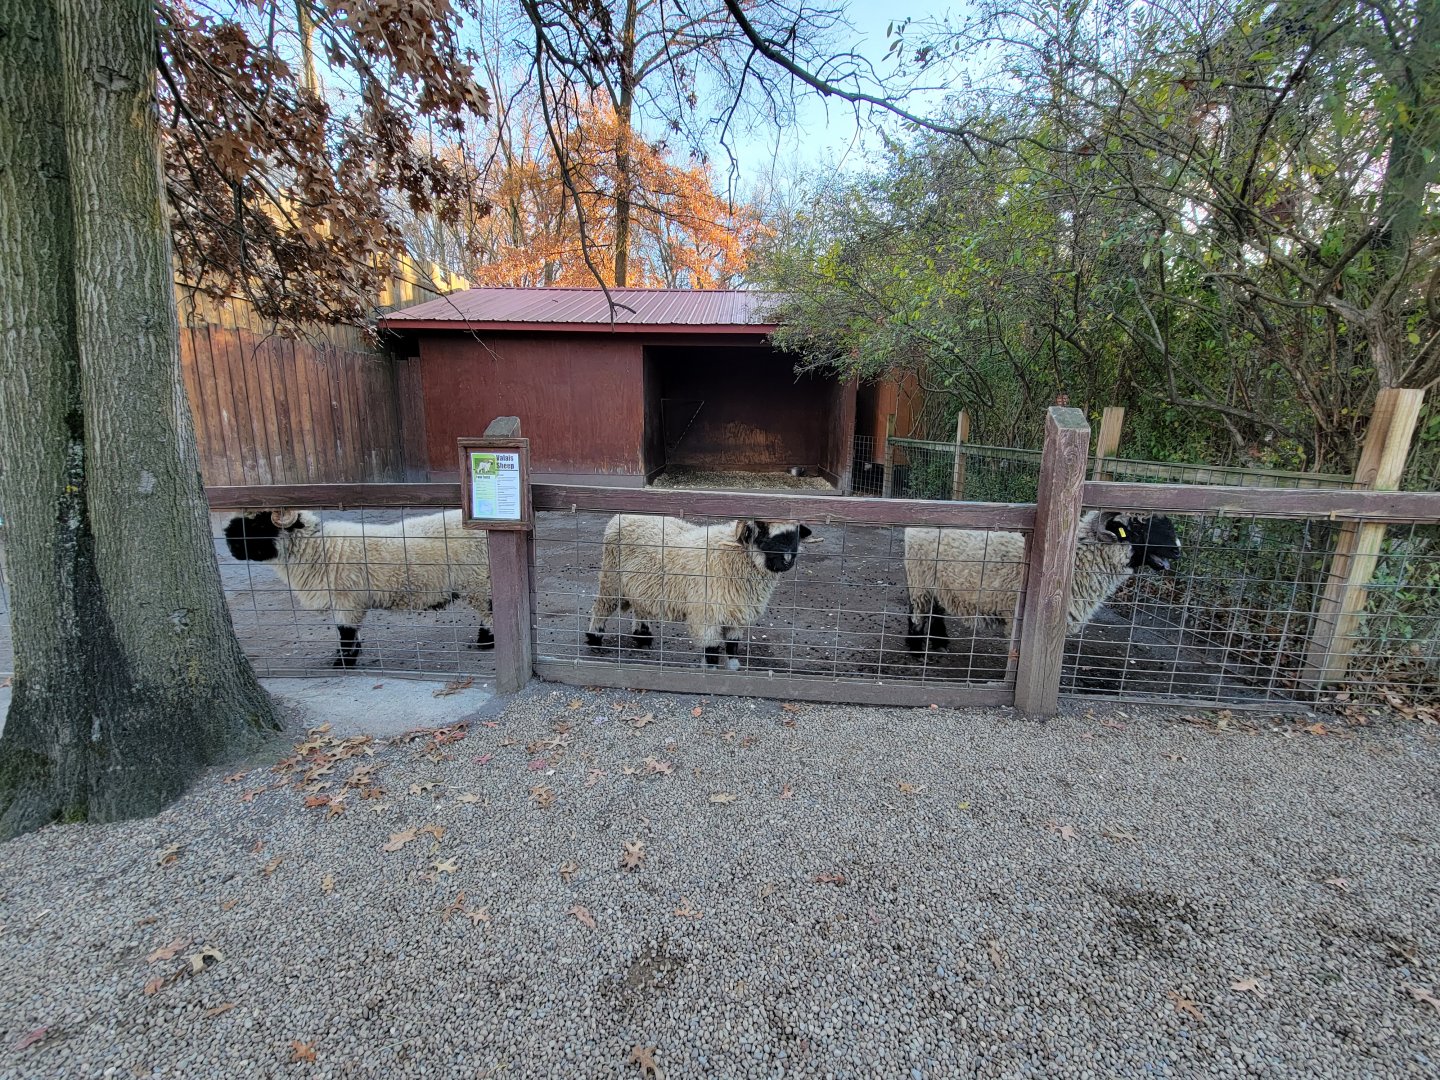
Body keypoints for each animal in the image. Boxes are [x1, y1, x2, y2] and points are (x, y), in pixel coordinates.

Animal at [223, 508, 492, 668]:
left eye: (259, 526)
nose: (229, 541)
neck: (318, 550)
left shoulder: (347, 599)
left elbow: (346, 632)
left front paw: (344, 661)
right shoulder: (347, 601)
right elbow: (350, 631)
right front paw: (352, 654)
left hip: (479, 581)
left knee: (490, 613)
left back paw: (486, 643)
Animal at [584, 514, 812, 670]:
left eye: (795, 537)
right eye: (765, 536)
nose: (788, 560)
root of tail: (620, 517)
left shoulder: (735, 611)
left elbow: (732, 645)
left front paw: (734, 667)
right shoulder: (707, 613)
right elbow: (711, 649)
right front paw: (710, 670)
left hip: (641, 584)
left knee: (640, 607)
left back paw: (643, 637)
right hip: (611, 579)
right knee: (601, 607)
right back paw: (595, 638)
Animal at [904, 511, 1181, 653]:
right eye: (1138, 530)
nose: (1177, 549)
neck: (1077, 560)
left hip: (939, 582)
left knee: (936, 609)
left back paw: (940, 643)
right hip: (919, 577)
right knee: (917, 611)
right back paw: (915, 648)